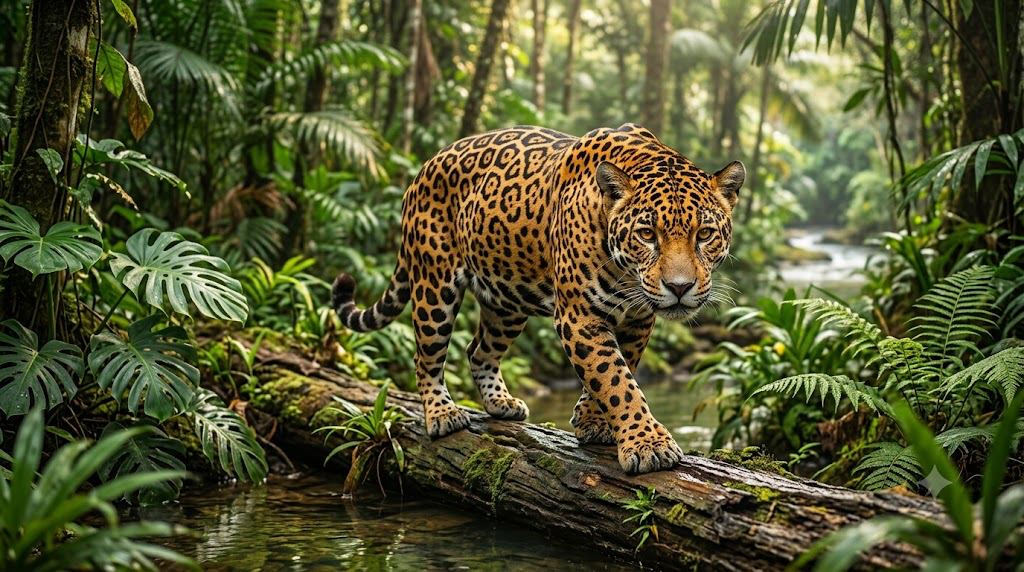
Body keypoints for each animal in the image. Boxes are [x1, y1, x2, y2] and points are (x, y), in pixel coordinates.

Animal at [331, 123, 744, 474]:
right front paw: (648, 444)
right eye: (646, 234)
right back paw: (442, 414)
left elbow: (616, 372)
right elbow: (616, 381)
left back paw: (500, 403)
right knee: (427, 355)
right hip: (434, 284)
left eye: (705, 234)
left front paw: (593, 421)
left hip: (507, 301)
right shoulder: (580, 317)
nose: (679, 287)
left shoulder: (638, 319)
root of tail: (423, 169)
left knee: (478, 350)